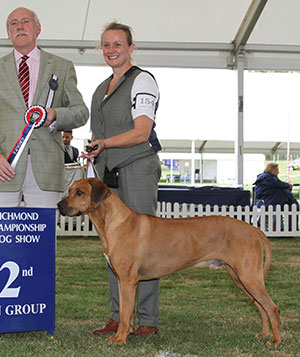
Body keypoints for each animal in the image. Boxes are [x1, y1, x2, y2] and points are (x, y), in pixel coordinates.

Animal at [58, 178, 282, 344]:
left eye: (80, 193)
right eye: (70, 190)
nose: (59, 205)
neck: (113, 222)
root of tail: (253, 228)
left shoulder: (127, 280)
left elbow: (124, 313)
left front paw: (120, 339)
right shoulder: (127, 281)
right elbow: (127, 313)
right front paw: (127, 333)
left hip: (249, 277)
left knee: (272, 308)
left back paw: (276, 341)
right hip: (240, 278)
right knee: (261, 306)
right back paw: (264, 334)